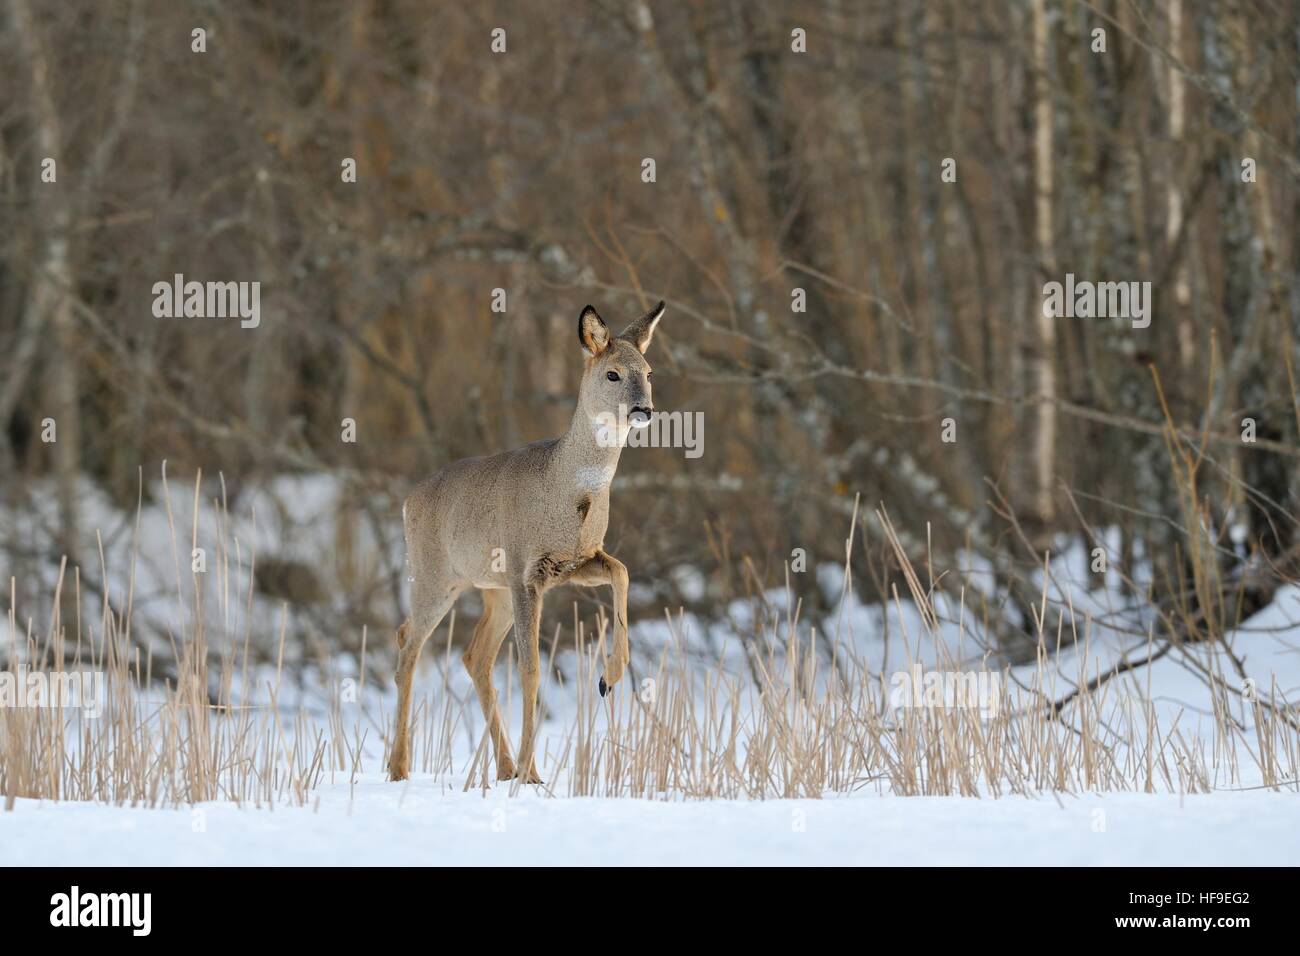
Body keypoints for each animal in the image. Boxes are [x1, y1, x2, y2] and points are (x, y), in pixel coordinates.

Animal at [388, 300, 665, 783]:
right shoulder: (524, 572)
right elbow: (531, 670)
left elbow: (623, 571)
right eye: (612, 373)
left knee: (474, 656)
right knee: (409, 644)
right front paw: (532, 773)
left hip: (490, 588)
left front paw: (608, 678)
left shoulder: (573, 562)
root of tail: (408, 500)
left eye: (648, 371)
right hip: (435, 575)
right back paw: (400, 767)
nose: (644, 409)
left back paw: (501, 767)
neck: (567, 489)